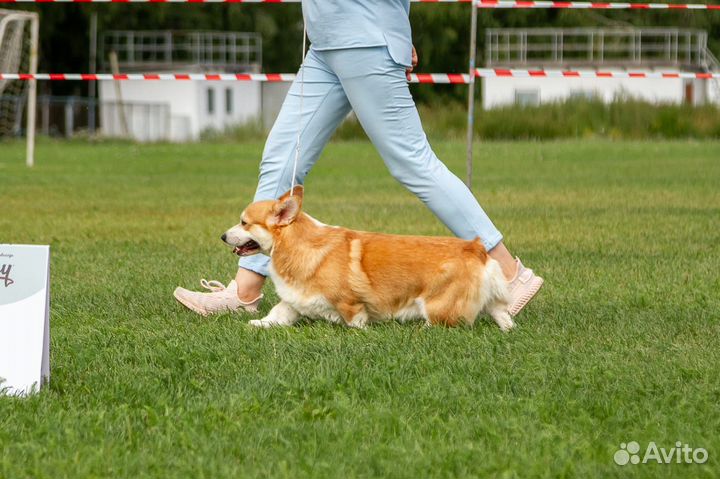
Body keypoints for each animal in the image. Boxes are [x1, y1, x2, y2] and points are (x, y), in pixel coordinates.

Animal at [219, 187, 512, 330]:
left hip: (436, 305)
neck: (296, 245)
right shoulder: (294, 300)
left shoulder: (351, 304)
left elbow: (355, 322)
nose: (222, 236)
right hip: (491, 302)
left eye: (244, 222)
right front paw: (258, 324)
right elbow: (278, 314)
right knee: (503, 316)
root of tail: (475, 248)